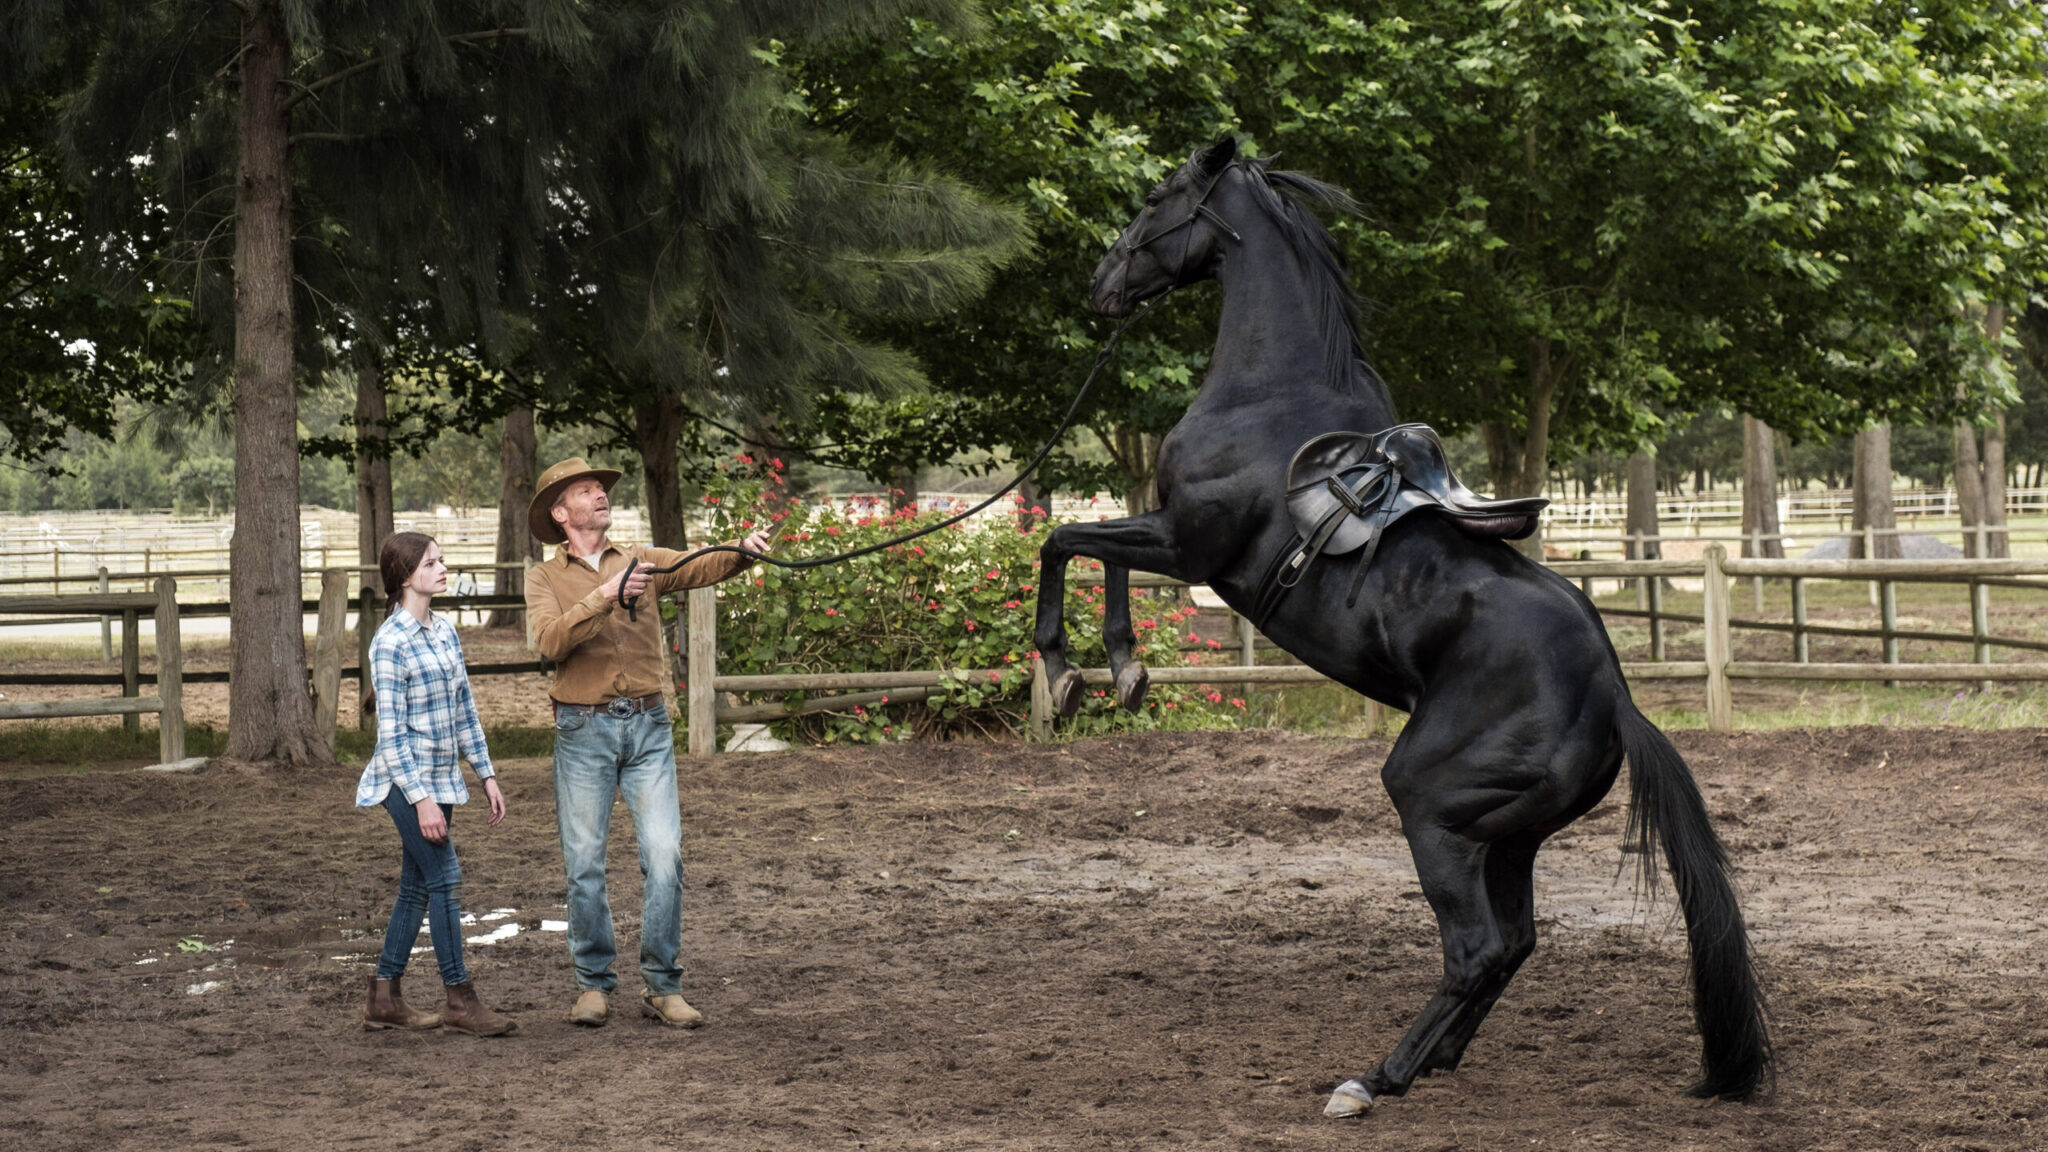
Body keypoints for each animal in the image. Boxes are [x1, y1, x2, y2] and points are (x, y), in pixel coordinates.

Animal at [1032, 134, 1769, 1115]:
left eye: (1156, 199)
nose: (1102, 283)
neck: (1269, 395)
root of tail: (1614, 697)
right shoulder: (1178, 547)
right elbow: (1091, 551)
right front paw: (1119, 670)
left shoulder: (1189, 547)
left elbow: (1066, 541)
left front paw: (1078, 668)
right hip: (1506, 835)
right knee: (1514, 944)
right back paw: (1437, 1057)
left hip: (1430, 804)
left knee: (1477, 949)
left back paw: (1375, 1078)